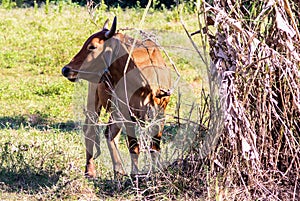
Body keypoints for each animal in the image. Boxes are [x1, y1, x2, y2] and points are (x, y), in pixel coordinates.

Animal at [61, 16, 171, 177]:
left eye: (92, 47)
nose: (66, 69)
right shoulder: (128, 114)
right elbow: (134, 147)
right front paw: (135, 175)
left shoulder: (160, 114)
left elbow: (154, 148)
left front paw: (156, 173)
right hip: (94, 102)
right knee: (91, 131)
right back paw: (90, 171)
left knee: (110, 133)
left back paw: (118, 171)